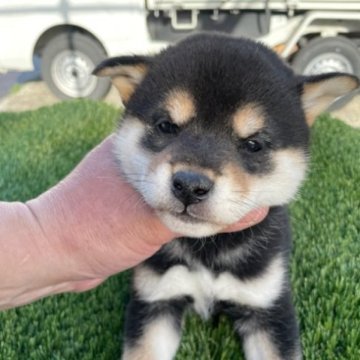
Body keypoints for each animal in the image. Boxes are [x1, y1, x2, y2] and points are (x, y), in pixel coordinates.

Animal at [93, 33, 360, 358]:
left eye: (254, 144)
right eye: (166, 126)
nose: (190, 185)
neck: (208, 250)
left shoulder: (268, 307)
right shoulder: (156, 300)